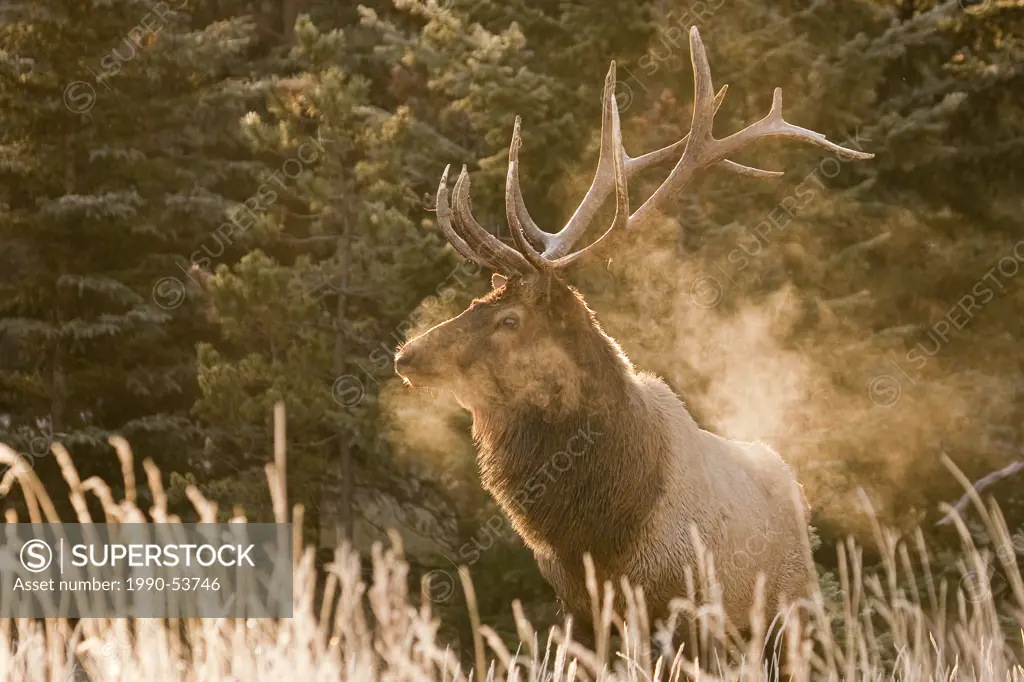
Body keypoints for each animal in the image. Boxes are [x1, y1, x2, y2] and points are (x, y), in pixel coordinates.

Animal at [395, 26, 868, 630]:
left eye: (509, 319)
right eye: (479, 299)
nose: (406, 355)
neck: (597, 531)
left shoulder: (684, 601)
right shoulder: (577, 608)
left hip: (791, 611)